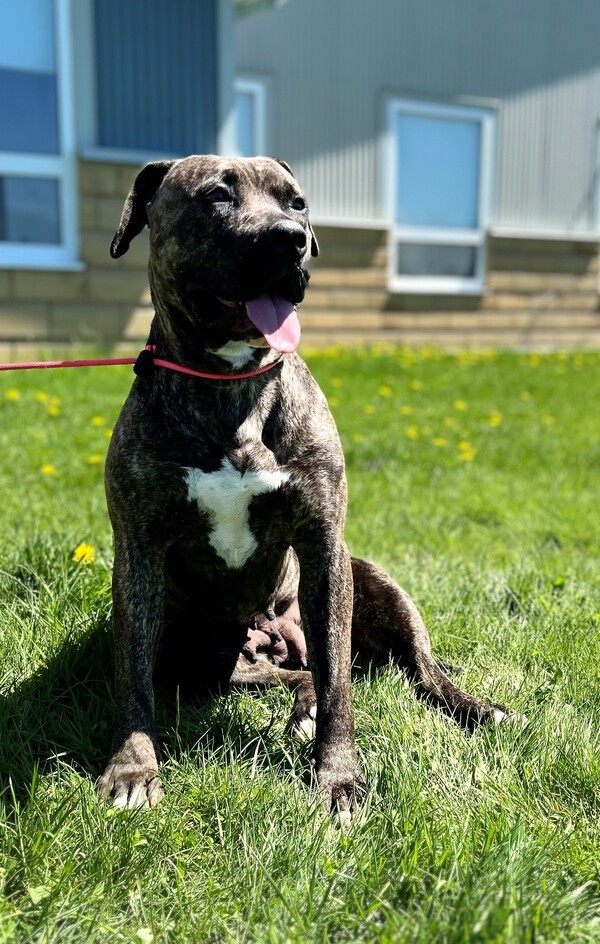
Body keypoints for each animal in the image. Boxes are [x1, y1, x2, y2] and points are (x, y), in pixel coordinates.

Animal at [98, 157, 510, 820]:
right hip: (205, 651)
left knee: (404, 667)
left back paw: (473, 706)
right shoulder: (137, 552)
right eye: (217, 195)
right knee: (293, 674)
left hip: (372, 581)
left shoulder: (322, 545)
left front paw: (338, 777)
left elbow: (341, 682)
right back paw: (300, 701)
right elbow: (133, 676)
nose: (290, 238)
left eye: (297, 203)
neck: (233, 385)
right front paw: (133, 766)